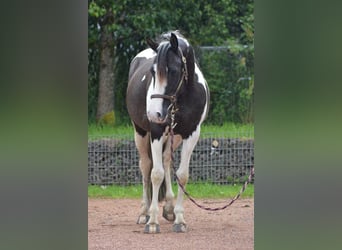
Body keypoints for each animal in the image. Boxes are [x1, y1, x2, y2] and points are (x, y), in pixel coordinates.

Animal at [127, 30, 210, 232]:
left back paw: (170, 208)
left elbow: (182, 175)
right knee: (146, 166)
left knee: (165, 161)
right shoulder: (156, 132)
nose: (153, 113)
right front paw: (152, 221)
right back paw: (144, 212)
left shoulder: (191, 134)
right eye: (152, 72)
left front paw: (179, 219)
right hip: (140, 132)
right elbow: (156, 174)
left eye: (173, 70)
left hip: (175, 136)